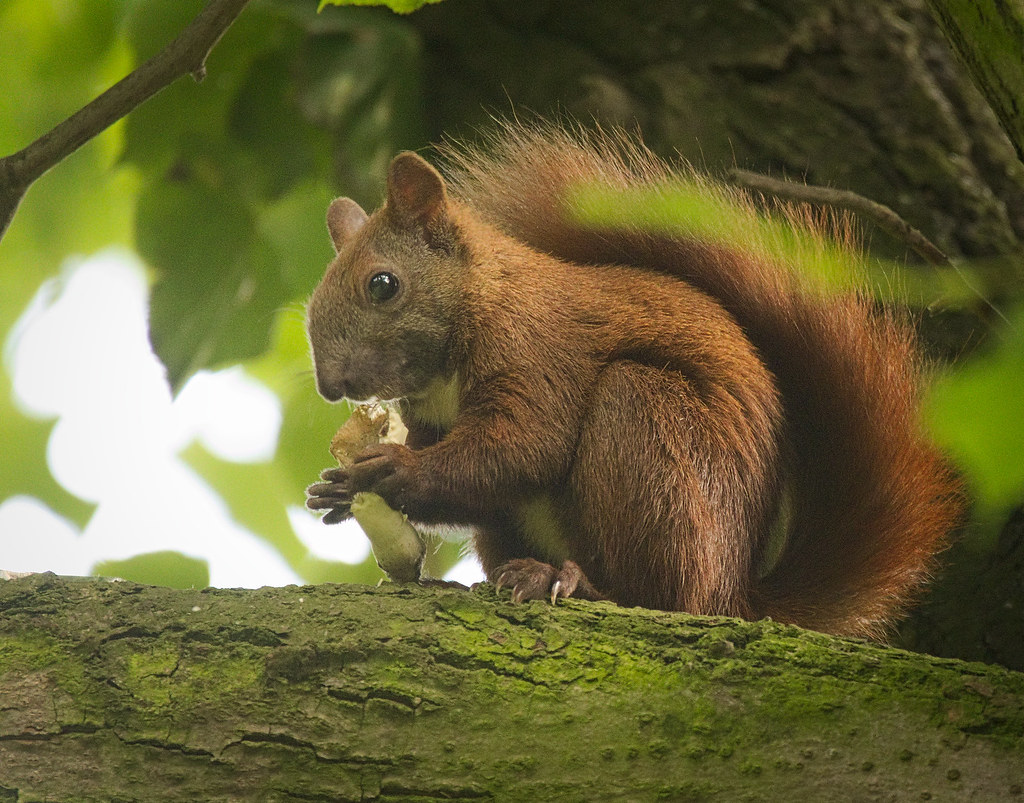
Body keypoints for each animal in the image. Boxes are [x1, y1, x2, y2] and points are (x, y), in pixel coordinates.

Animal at [305, 122, 963, 639]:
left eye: (383, 284)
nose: (330, 387)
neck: (481, 300)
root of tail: (734, 595)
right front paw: (336, 492)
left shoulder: (537, 353)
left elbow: (521, 447)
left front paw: (388, 473)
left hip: (648, 431)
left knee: (659, 595)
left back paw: (577, 583)